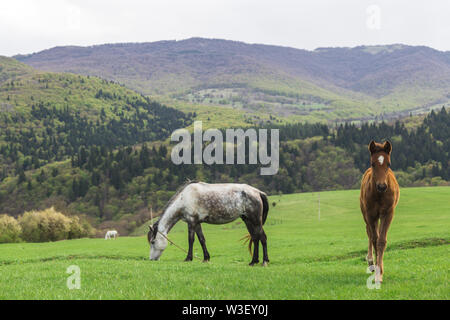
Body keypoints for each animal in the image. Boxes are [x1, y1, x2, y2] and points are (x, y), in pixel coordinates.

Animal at [360, 140, 400, 282]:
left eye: (388, 164)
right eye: (373, 163)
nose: (382, 186)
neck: (379, 195)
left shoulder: (387, 214)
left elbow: (381, 241)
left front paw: (380, 272)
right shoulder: (370, 215)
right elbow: (374, 239)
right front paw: (377, 271)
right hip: (366, 216)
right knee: (369, 234)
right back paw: (371, 262)